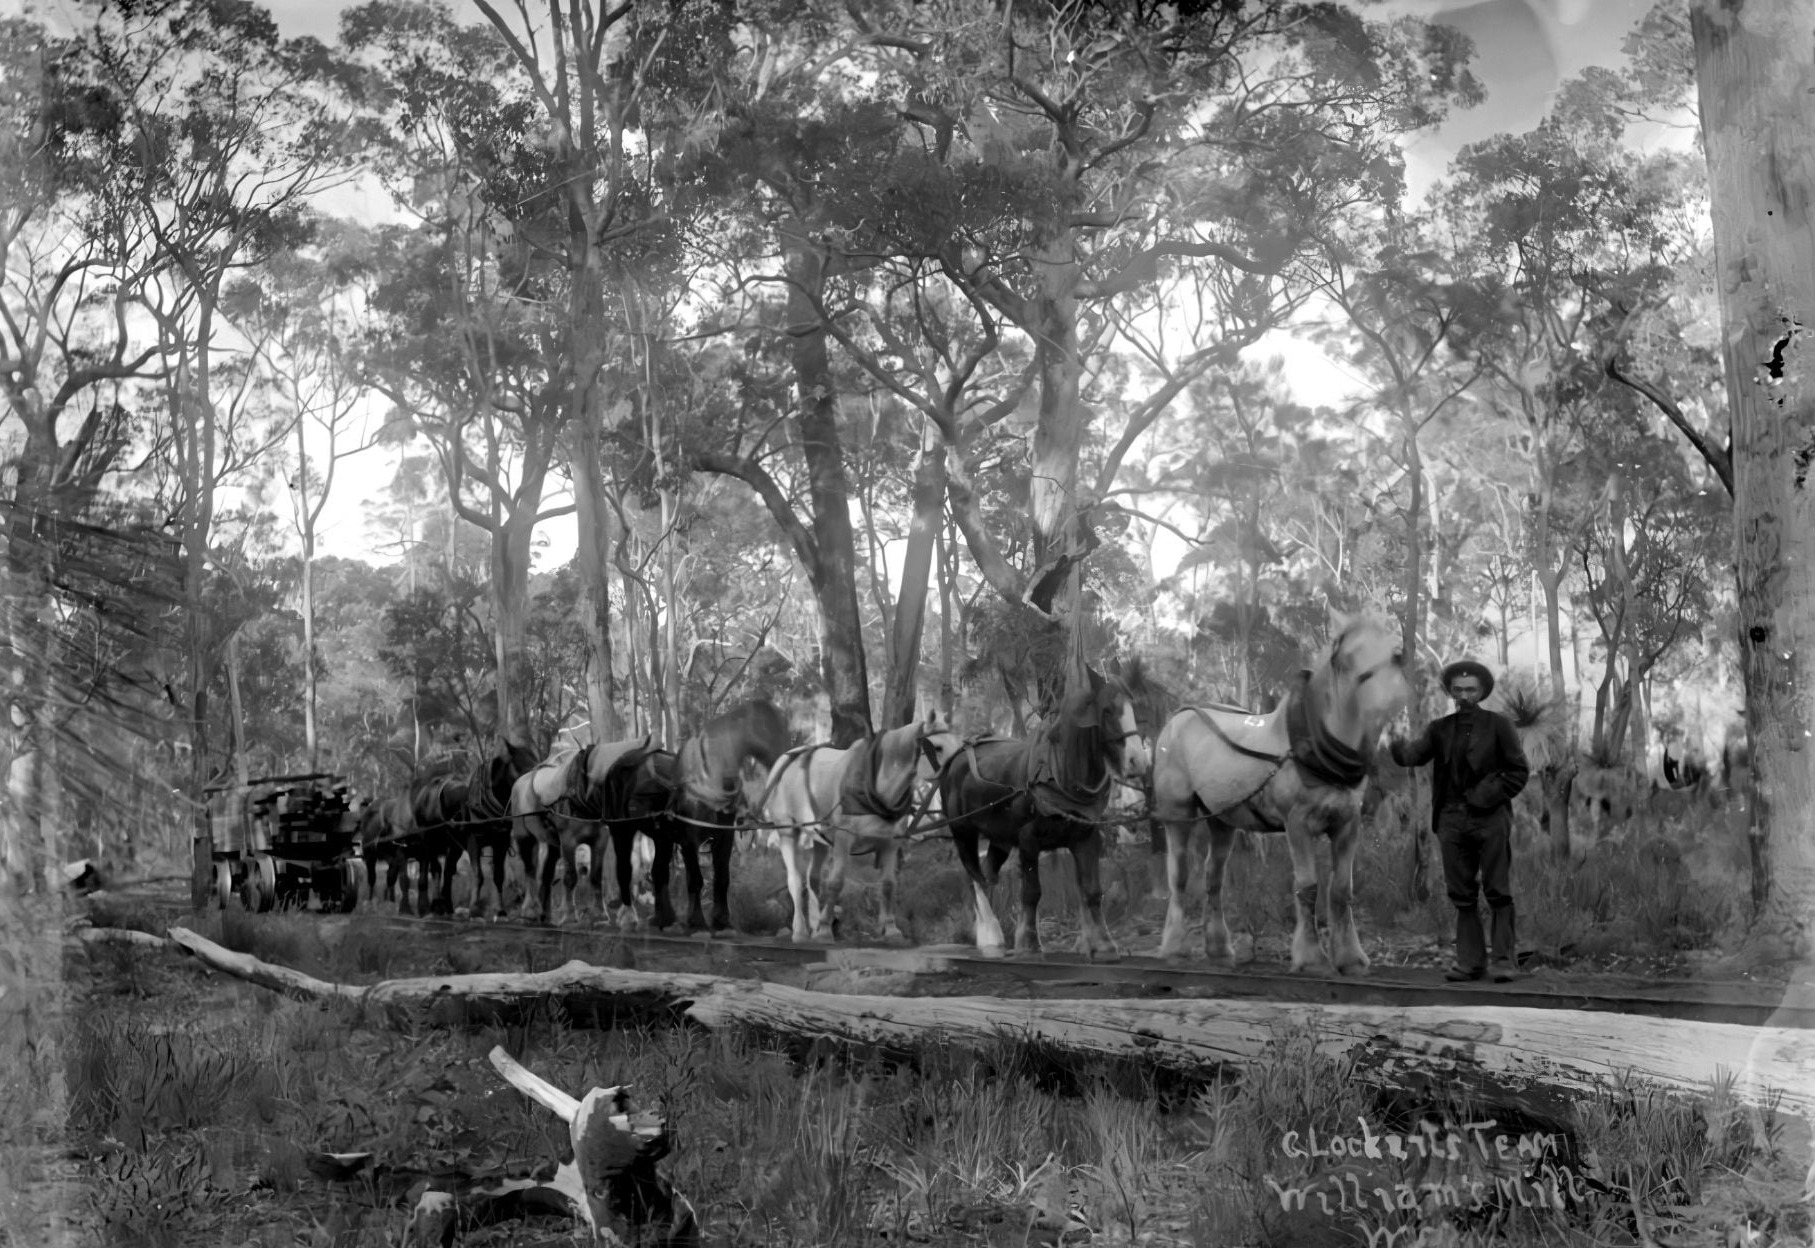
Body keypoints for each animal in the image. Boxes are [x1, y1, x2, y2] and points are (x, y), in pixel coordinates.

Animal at [758, 711, 965, 943]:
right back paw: (801, 931)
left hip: (819, 836)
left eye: (959, 744)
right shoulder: (843, 838)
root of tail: (787, 758)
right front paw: (825, 929)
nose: (958, 772)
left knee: (813, 879)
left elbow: (888, 885)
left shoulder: (891, 842)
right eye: (937, 747)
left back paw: (813, 924)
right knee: (795, 880)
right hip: (787, 830)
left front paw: (890, 930)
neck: (874, 785)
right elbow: (836, 882)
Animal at [943, 667, 1154, 957]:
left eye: (1133, 708)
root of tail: (958, 756)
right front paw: (1029, 942)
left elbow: (1091, 890)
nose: (1138, 761)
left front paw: (1103, 943)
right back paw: (990, 935)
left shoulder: (1087, 838)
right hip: (963, 831)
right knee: (974, 876)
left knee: (987, 874)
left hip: (999, 837)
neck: (1060, 775)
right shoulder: (1028, 840)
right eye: (1108, 710)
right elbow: (1032, 892)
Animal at [1154, 613, 1408, 972]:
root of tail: (1180, 715)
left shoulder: (1348, 824)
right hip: (1178, 814)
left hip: (1222, 820)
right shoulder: (1297, 823)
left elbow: (1341, 890)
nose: (1387, 701)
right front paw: (1311, 957)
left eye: (1394, 656)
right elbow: (1308, 887)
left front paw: (1351, 958)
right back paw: (1174, 947)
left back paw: (1219, 949)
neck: (1317, 747)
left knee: (1214, 878)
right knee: (1179, 876)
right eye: (1346, 661)